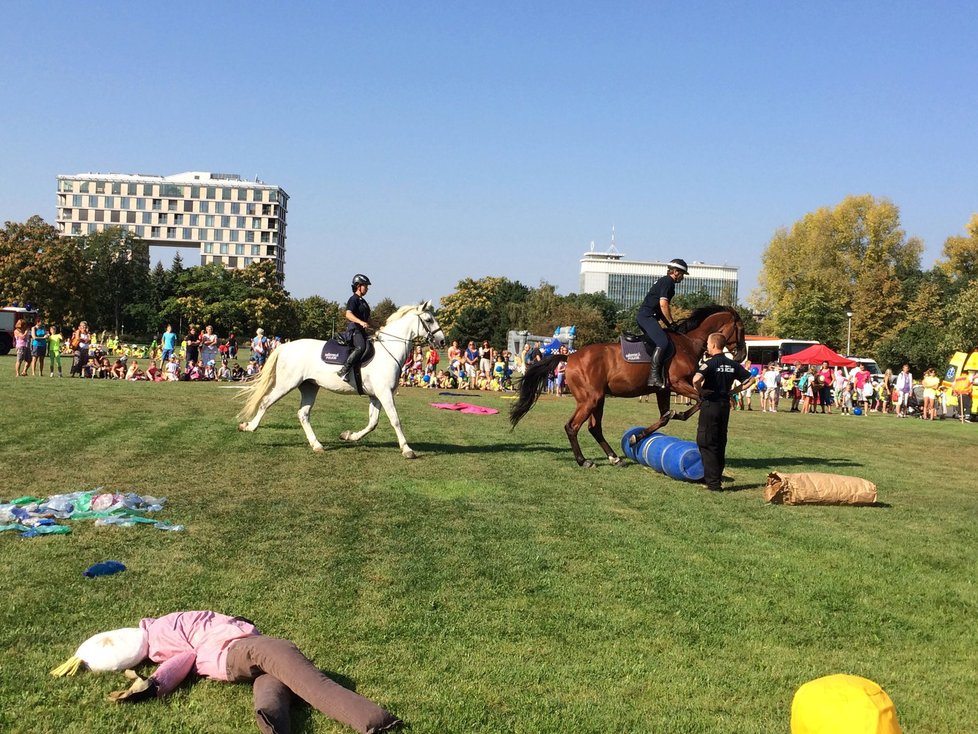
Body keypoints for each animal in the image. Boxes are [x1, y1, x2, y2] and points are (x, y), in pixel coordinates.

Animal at [238, 302, 444, 458]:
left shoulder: (376, 396)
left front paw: (349, 436)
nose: (442, 341)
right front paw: (407, 449)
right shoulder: (384, 393)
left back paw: (316, 445)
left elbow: (372, 423)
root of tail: (284, 347)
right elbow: (395, 420)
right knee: (266, 402)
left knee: (303, 414)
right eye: (428, 320)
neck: (389, 351)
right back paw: (249, 427)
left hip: (309, 387)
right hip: (286, 384)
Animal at [508, 306, 744, 468]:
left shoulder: (663, 389)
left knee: (594, 428)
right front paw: (677, 415)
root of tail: (570, 356)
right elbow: (700, 400)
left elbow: (665, 416)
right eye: (740, 329)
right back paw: (584, 460)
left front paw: (637, 437)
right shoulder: (678, 383)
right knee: (572, 427)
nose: (741, 355)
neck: (688, 342)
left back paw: (614, 457)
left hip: (598, 399)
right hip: (589, 399)